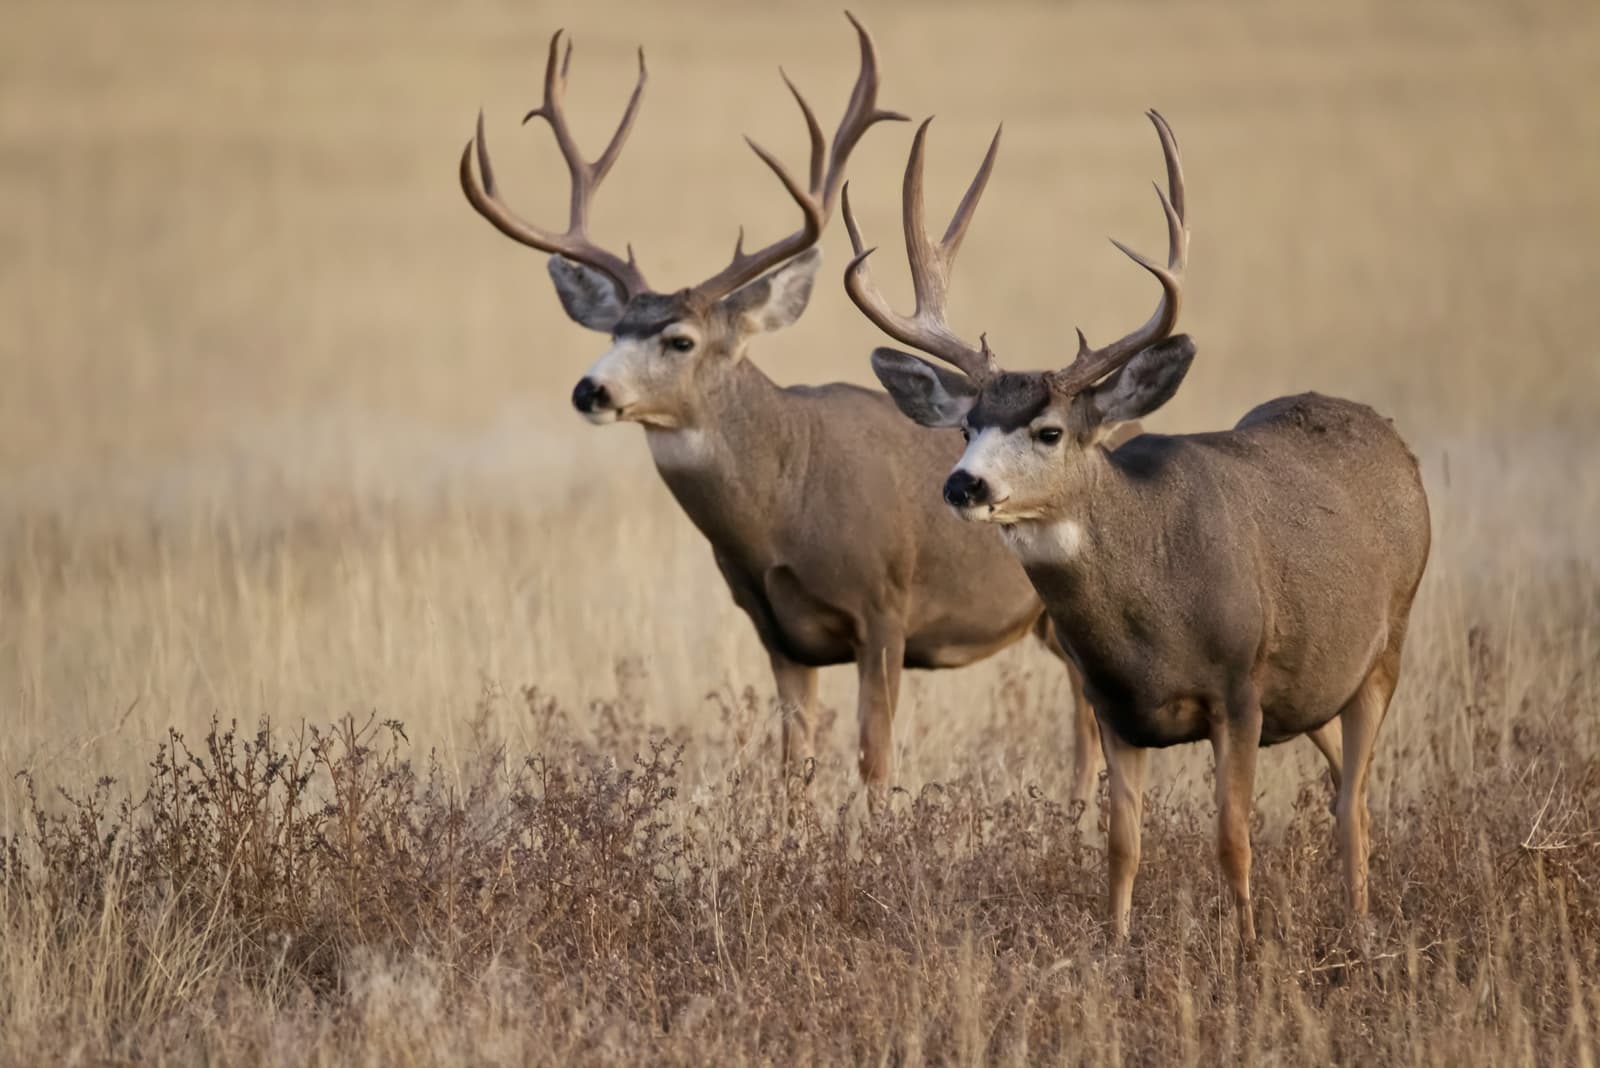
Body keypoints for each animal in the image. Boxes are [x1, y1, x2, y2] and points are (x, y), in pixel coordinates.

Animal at [458, 15, 1111, 811]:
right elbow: (791, 769)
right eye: (611, 331)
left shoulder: (884, 609)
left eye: (680, 339)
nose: (591, 390)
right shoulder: (778, 633)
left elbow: (874, 763)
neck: (784, 502)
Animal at [841, 110, 1431, 942]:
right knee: (1346, 786)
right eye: (965, 426)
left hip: (1388, 645)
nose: (963, 484)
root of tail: (1394, 443)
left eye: (1049, 431)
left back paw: (1360, 927)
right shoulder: (1113, 705)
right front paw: (1115, 947)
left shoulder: (1240, 688)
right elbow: (1121, 844)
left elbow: (1232, 838)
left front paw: (1248, 948)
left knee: (1354, 804)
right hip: (1319, 681)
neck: (1152, 611)